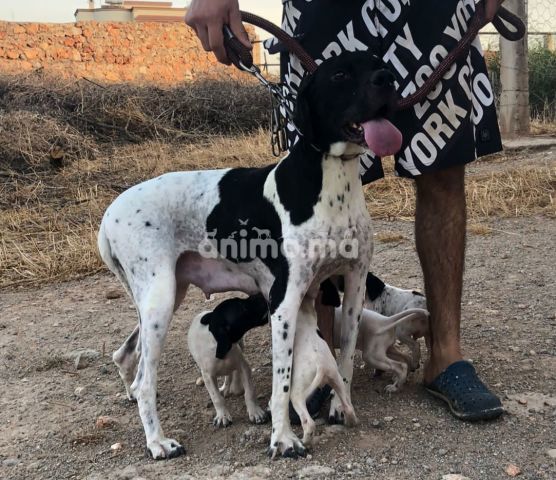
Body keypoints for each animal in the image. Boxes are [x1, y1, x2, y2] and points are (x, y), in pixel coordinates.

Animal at [188, 296, 270, 428]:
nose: (260, 295)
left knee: (231, 373)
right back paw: (225, 389)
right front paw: (223, 416)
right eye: (243, 307)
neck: (218, 343)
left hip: (240, 346)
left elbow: (250, 392)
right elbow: (216, 398)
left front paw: (255, 412)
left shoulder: (244, 367)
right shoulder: (207, 376)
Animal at [288, 296, 358, 446]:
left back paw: (304, 441)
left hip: (297, 394)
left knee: (309, 423)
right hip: (338, 381)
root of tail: (321, 366)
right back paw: (352, 422)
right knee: (348, 408)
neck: (303, 310)